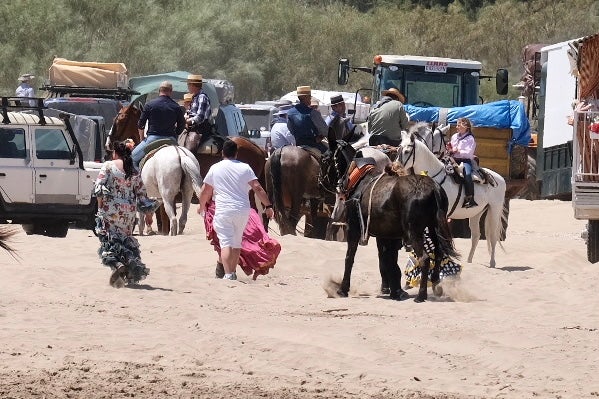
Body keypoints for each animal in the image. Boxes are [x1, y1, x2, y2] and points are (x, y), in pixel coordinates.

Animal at [328, 139, 460, 302]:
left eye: (326, 158)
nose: (321, 181)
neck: (359, 179)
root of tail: (433, 187)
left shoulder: (354, 228)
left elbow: (350, 258)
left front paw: (343, 289)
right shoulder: (387, 235)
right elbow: (389, 261)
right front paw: (395, 291)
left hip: (414, 232)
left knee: (424, 258)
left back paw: (421, 295)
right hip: (433, 227)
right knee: (439, 252)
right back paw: (435, 283)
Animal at [396, 128, 508, 268]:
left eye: (406, 151)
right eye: (398, 149)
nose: (395, 167)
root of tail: (499, 178)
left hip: (494, 210)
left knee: (492, 236)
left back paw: (492, 262)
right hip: (476, 213)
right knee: (476, 236)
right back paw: (469, 261)